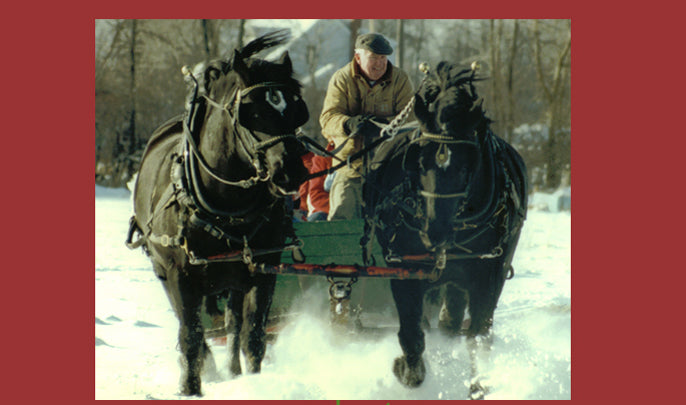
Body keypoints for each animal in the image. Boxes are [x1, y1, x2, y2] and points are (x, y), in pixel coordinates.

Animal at [127, 30, 310, 394]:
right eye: (252, 113)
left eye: (297, 111)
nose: (292, 172)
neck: (229, 208)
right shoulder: (180, 276)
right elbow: (191, 335)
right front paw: (190, 388)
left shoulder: (262, 270)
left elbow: (253, 335)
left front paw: (254, 384)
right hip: (163, 269)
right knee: (191, 324)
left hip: (235, 276)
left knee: (233, 323)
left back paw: (232, 371)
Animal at [368, 60, 528, 398]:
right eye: (418, 161)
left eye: (468, 165)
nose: (435, 233)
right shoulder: (403, 271)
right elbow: (412, 334)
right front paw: (407, 370)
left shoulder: (488, 274)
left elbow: (478, 335)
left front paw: (477, 385)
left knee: (462, 324)